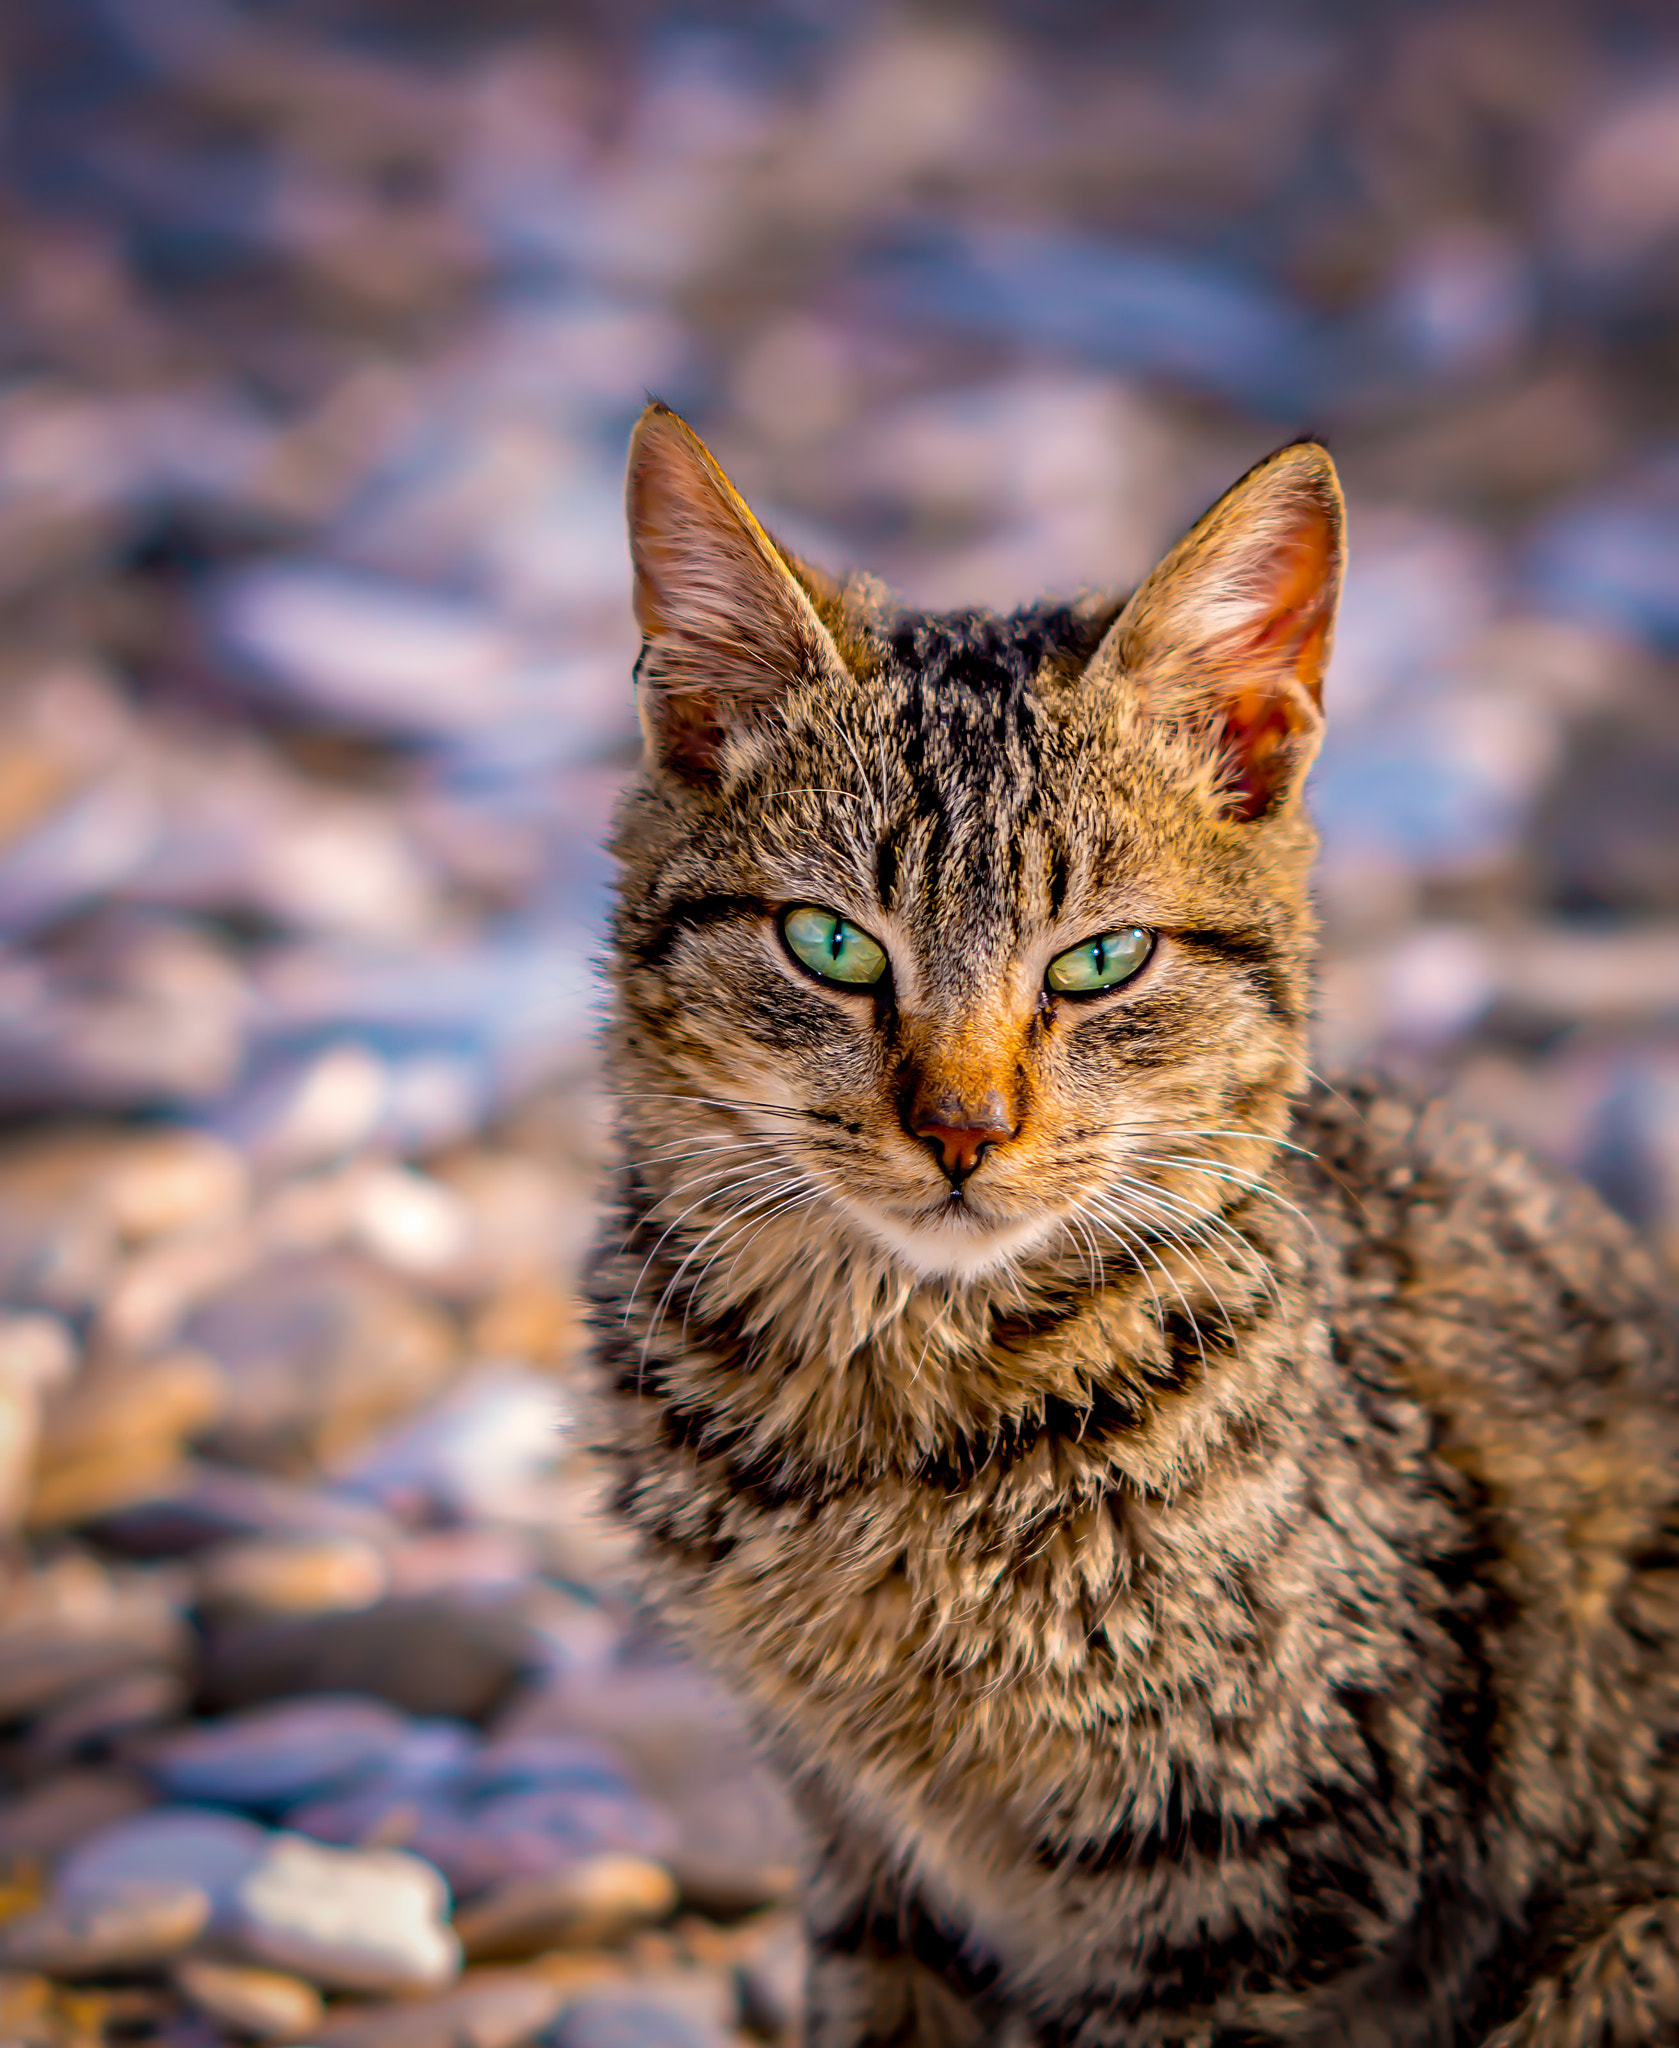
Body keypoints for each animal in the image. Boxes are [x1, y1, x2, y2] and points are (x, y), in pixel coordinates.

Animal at [585, 399, 1679, 2048]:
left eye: (1097, 961)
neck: (890, 1424)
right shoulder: (864, 1850)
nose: (961, 1129)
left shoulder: (1247, 1883)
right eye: (831, 944)